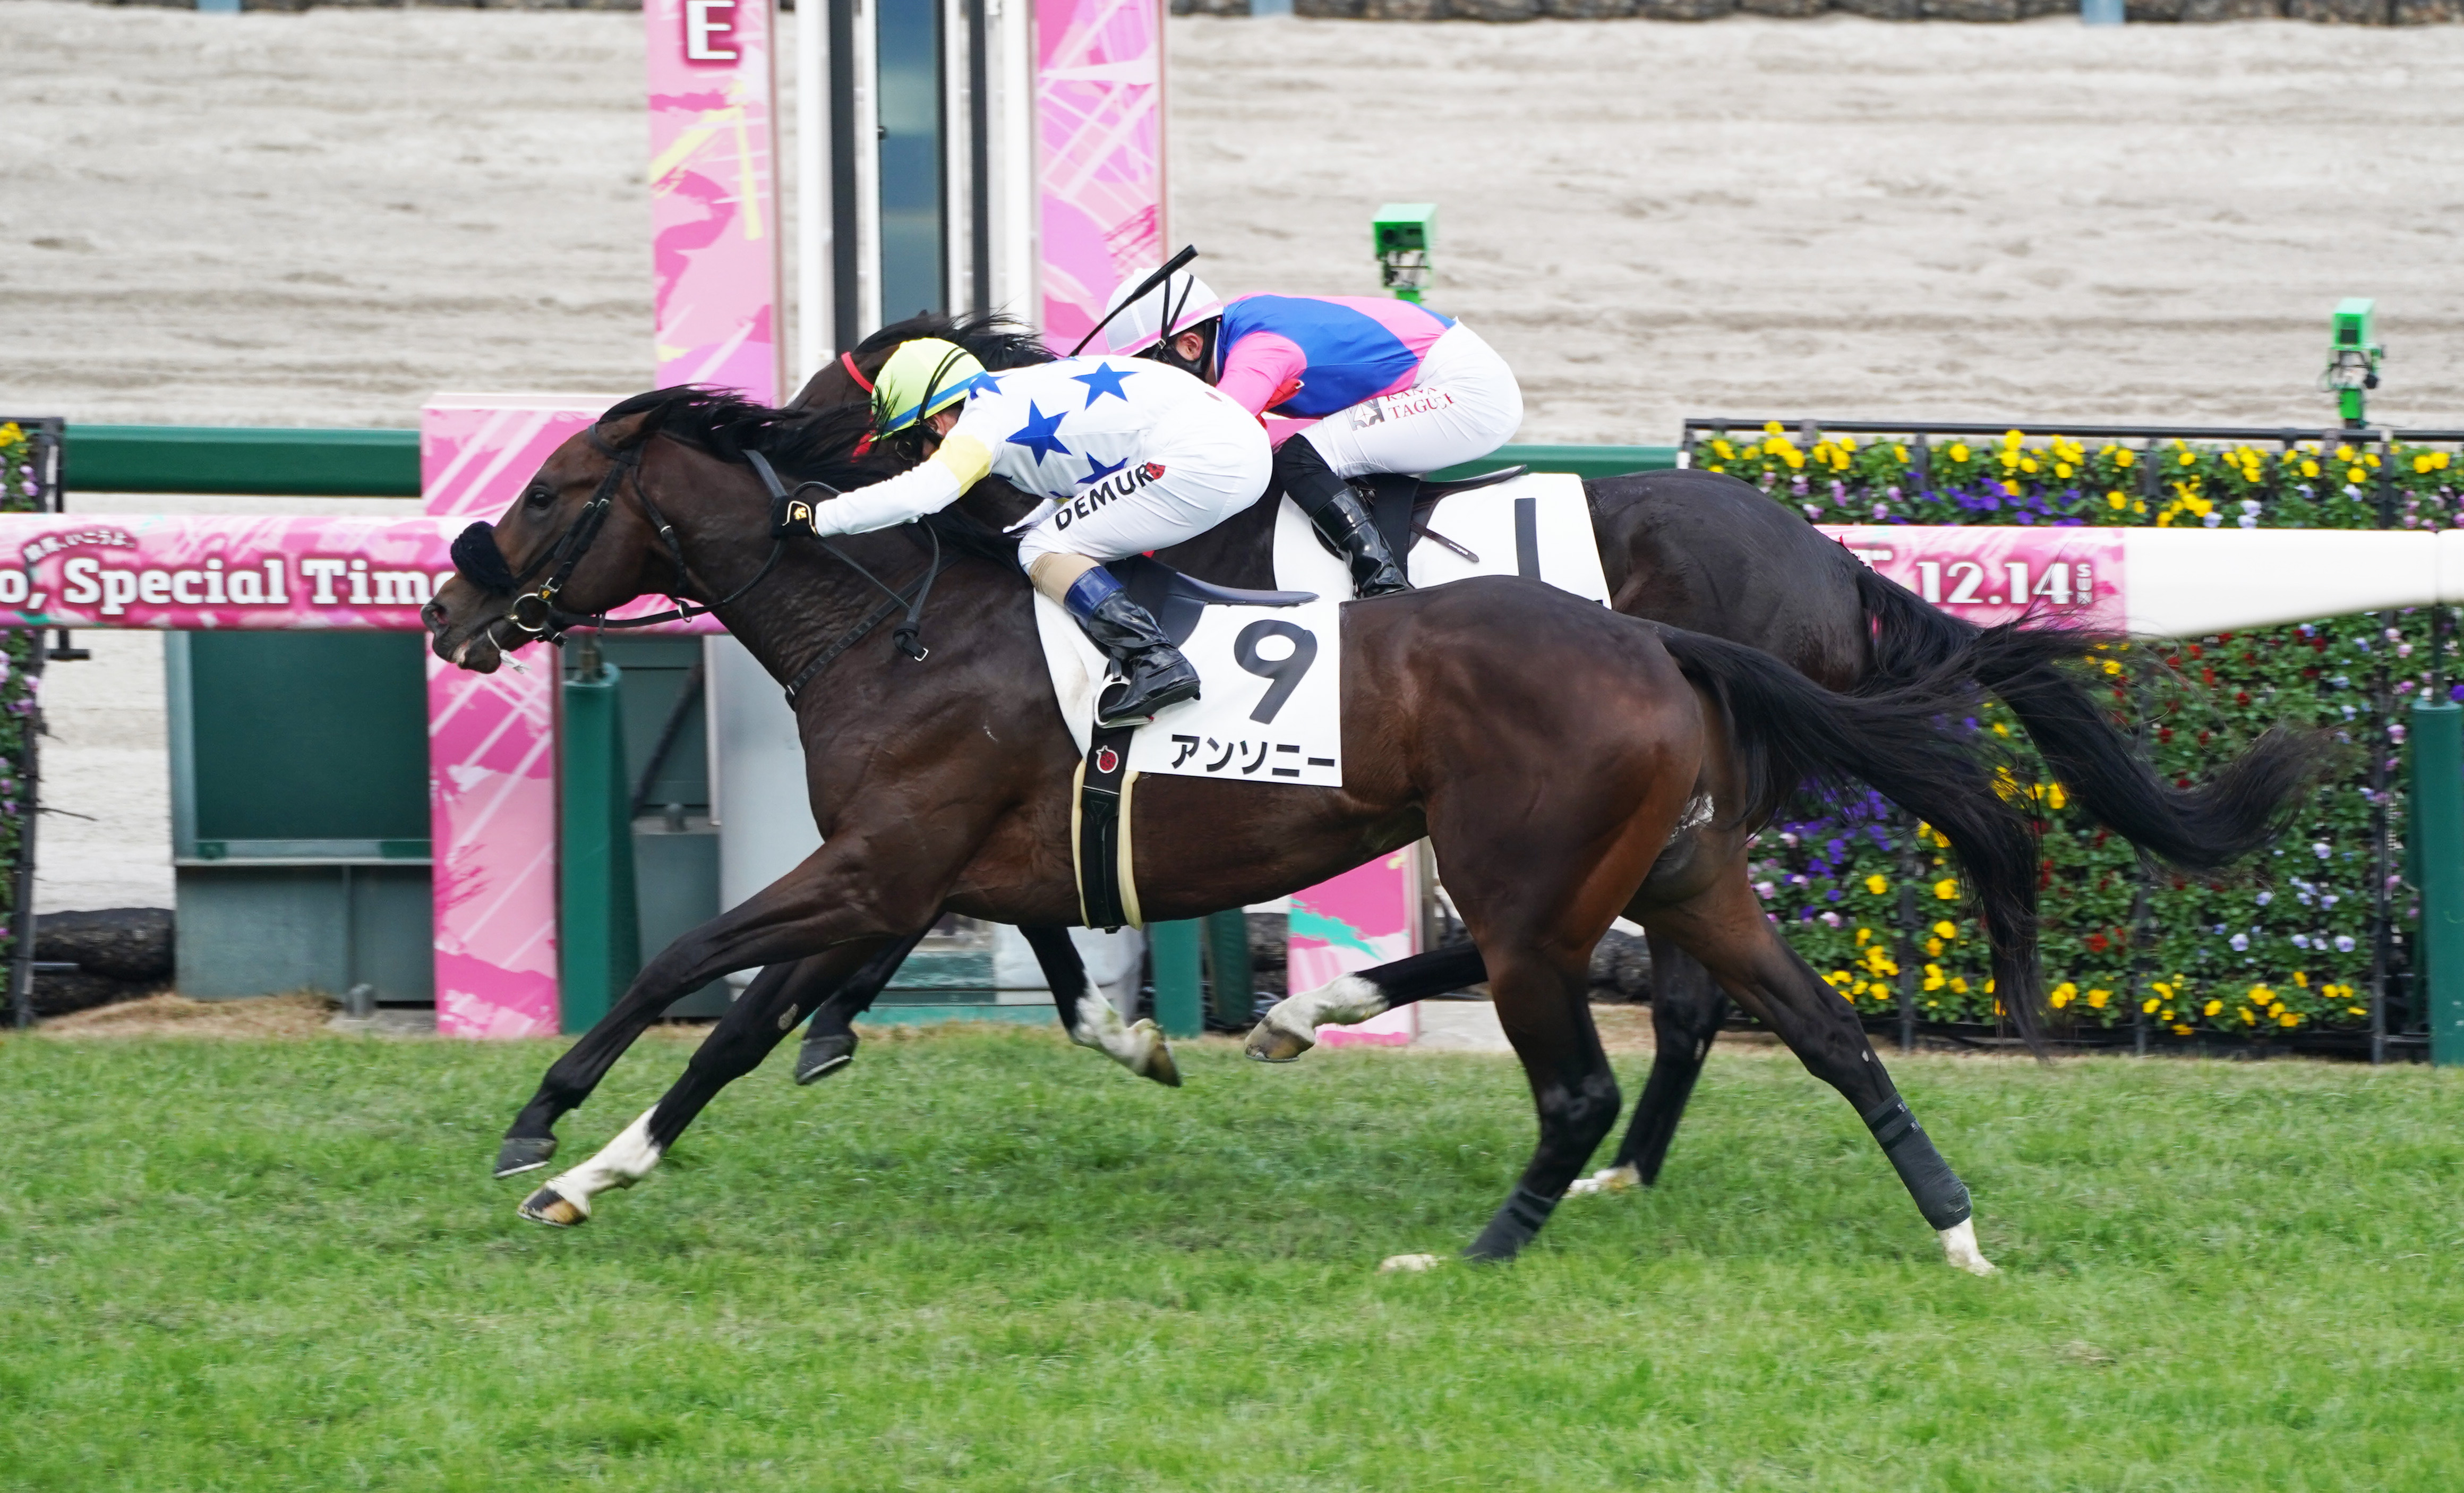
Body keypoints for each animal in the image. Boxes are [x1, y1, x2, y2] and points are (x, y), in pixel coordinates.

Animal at [421, 386, 2123, 1270]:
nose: (448, 609)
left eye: (557, 488)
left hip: (1540, 880)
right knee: (1793, 1021)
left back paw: (1414, 1117)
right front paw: (599, 1165)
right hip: (1687, 850)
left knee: (1601, 1032)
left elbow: (688, 973)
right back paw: (1942, 1228)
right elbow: (746, 1024)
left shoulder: (873, 866)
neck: (893, 626)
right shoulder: (906, 873)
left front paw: (542, 1124)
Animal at [780, 314, 2326, 1193]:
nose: (785, 444)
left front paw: (832, 1010)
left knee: (1641, 976)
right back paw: (1595, 1150)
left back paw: (1406, 1052)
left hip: (1672, 786)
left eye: (832, 397)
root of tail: (1829, 565)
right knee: (1659, 971)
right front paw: (836, 1012)